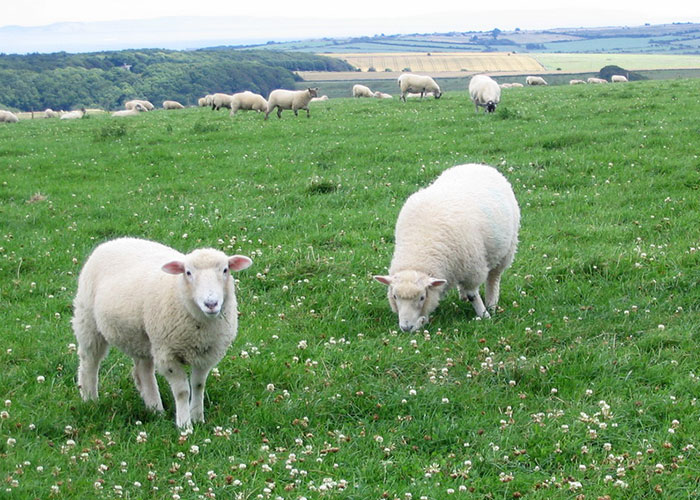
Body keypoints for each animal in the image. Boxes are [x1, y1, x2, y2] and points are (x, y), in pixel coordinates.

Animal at [72, 237, 253, 429]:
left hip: (143, 338)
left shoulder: (206, 354)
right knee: (89, 362)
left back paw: (155, 408)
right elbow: (182, 391)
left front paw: (198, 418)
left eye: (225, 270)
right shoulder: (168, 354)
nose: (211, 303)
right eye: (188, 272)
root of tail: (115, 240)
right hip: (88, 320)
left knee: (143, 371)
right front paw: (185, 425)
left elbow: (198, 386)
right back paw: (90, 399)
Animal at [374, 163, 520, 331]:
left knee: (494, 278)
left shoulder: (474, 268)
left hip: (507, 249)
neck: (420, 247)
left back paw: (491, 303)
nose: (406, 328)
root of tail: (478, 165)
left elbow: (473, 295)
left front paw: (484, 315)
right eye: (395, 296)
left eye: (422, 297)